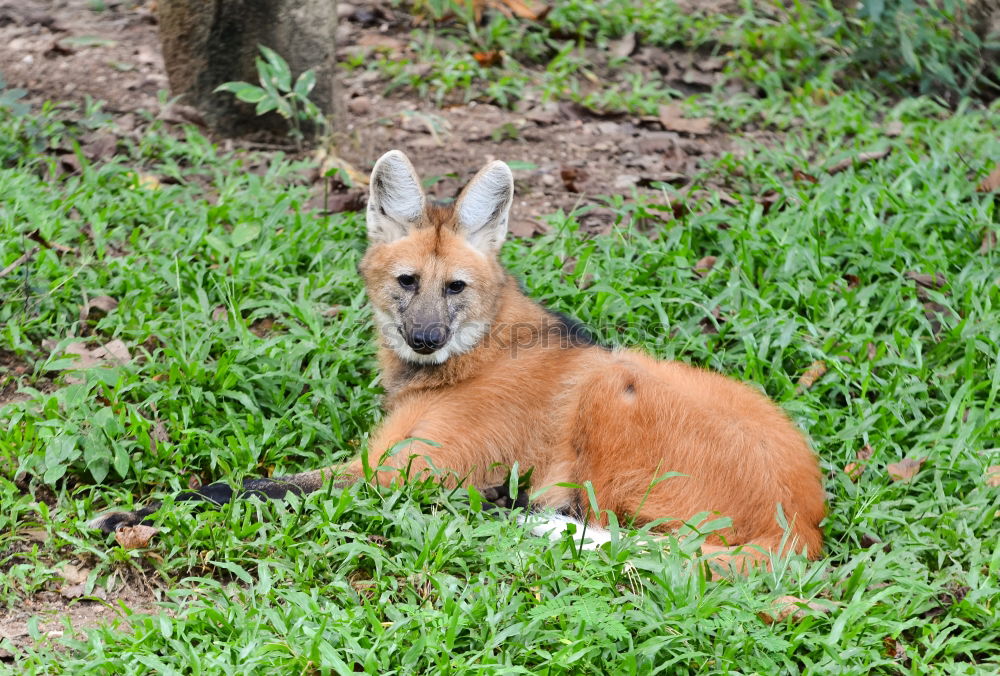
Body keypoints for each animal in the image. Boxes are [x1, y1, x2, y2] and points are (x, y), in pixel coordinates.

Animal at [94, 151, 824, 568]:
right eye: (407, 281)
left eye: (456, 288)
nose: (423, 339)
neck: (468, 359)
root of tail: (804, 524)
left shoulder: (394, 473)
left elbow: (249, 487)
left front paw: (132, 514)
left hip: (618, 390)